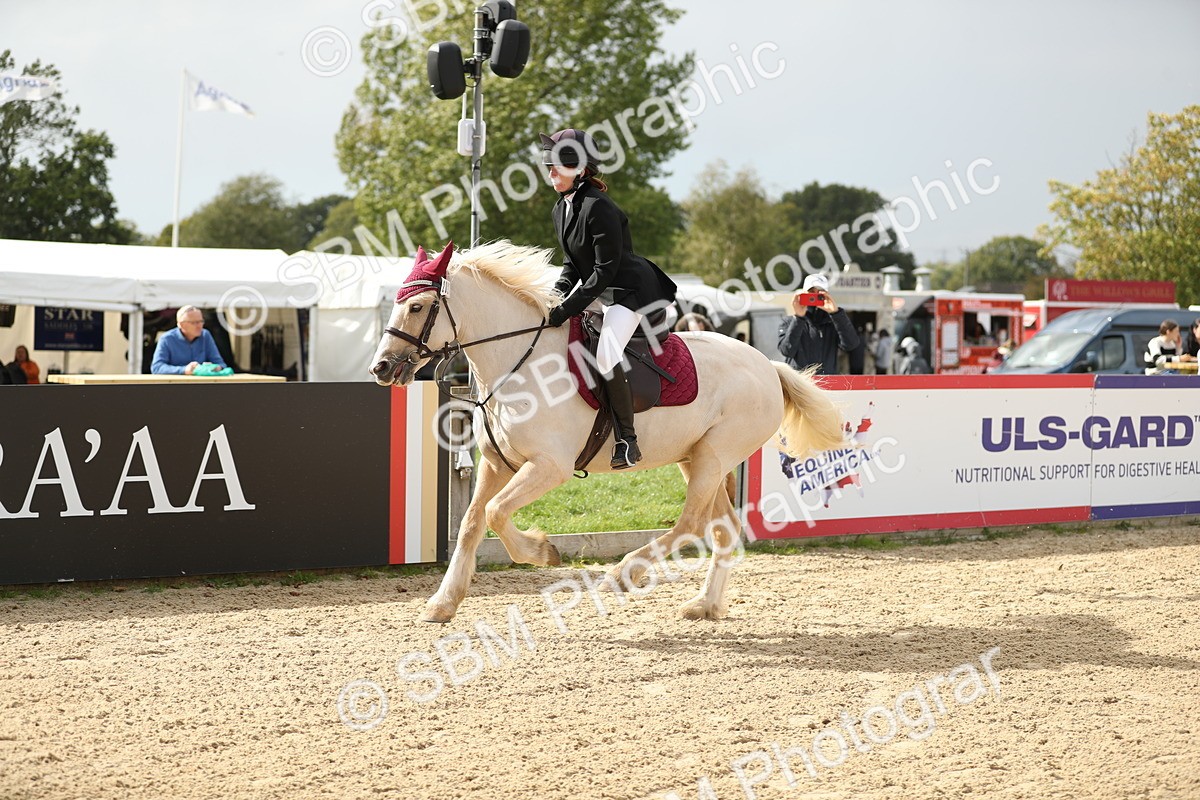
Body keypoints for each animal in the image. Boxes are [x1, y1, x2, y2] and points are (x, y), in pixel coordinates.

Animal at [369, 240, 844, 623]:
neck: (517, 362)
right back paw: (704, 605)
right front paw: (443, 603)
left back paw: (622, 573)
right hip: (695, 458)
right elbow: (472, 522)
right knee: (723, 529)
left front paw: (542, 552)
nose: (381, 368)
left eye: (416, 307)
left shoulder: (549, 467)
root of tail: (767, 365)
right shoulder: (497, 465)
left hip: (714, 456)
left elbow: (496, 513)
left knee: (690, 523)